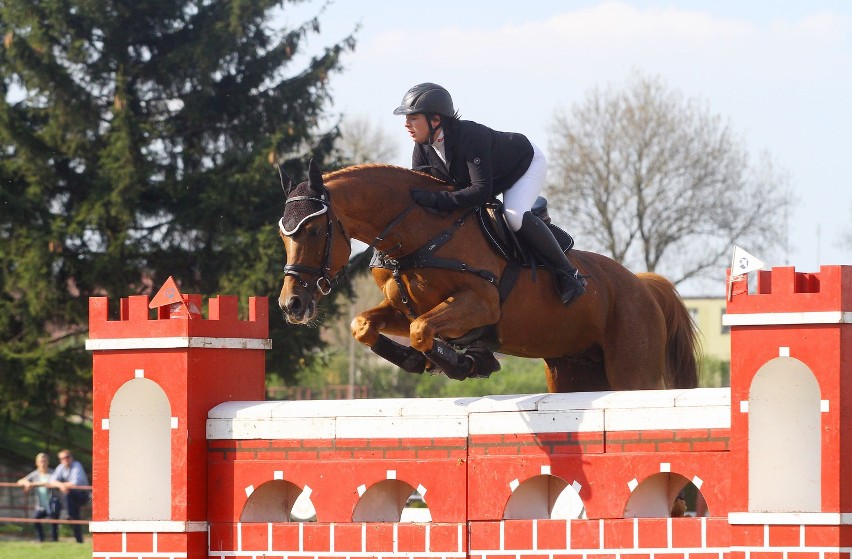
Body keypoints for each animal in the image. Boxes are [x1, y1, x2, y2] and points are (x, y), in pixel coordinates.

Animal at [280, 160, 700, 392]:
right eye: (283, 234)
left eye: (312, 231)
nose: (291, 305)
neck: (420, 232)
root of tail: (642, 285)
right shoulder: (403, 308)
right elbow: (365, 325)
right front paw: (424, 362)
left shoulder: (481, 304)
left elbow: (421, 331)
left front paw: (463, 363)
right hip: (573, 372)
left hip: (633, 371)